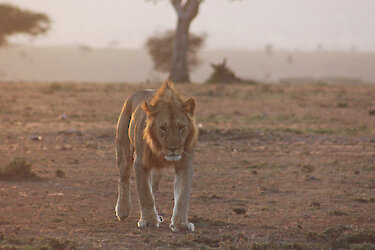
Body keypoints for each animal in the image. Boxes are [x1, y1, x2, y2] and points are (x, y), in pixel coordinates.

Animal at [114, 80, 198, 232]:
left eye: (181, 127)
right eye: (162, 128)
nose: (173, 149)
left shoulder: (185, 164)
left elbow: (182, 195)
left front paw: (181, 224)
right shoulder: (140, 163)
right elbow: (145, 193)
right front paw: (148, 221)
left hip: (157, 171)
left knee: (153, 186)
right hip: (124, 151)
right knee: (123, 179)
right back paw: (122, 210)